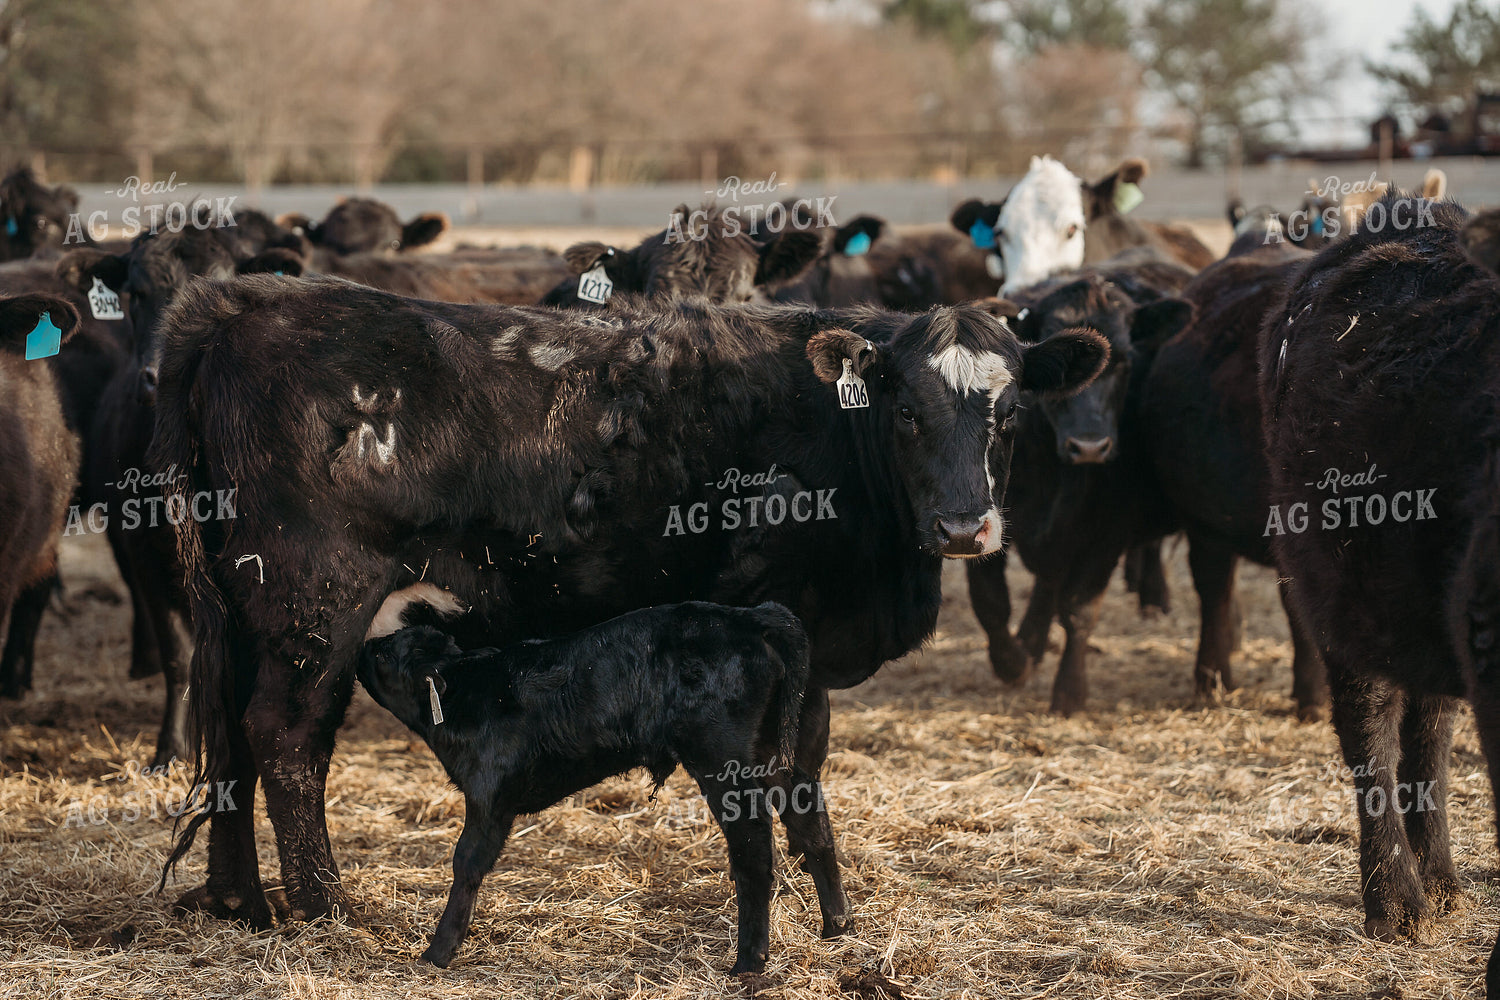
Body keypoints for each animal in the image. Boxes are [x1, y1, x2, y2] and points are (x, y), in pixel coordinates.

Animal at [359, 596, 810, 972]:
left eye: (384, 653)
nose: (363, 648)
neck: (468, 695)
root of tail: (747, 616)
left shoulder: (489, 796)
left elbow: (467, 862)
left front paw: (438, 951)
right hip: (773, 752)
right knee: (809, 813)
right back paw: (826, 928)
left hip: (724, 762)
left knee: (753, 845)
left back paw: (749, 963)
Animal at [964, 258, 1195, 714]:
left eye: (1125, 362)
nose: (1089, 446)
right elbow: (991, 603)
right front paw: (1012, 662)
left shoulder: (1106, 531)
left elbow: (1079, 610)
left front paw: (1070, 692)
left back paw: (1155, 598)